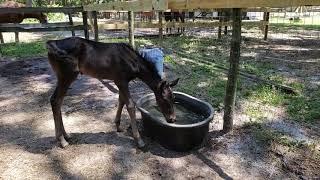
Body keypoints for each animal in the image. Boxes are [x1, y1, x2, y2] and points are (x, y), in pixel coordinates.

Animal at [46, 37, 179, 148]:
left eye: (173, 98)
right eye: (164, 99)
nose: (172, 119)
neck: (134, 64)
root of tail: (50, 45)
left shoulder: (120, 81)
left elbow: (121, 100)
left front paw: (118, 126)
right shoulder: (121, 80)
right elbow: (130, 104)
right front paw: (139, 140)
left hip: (64, 76)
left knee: (58, 101)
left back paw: (66, 135)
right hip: (67, 75)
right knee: (55, 100)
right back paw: (62, 140)